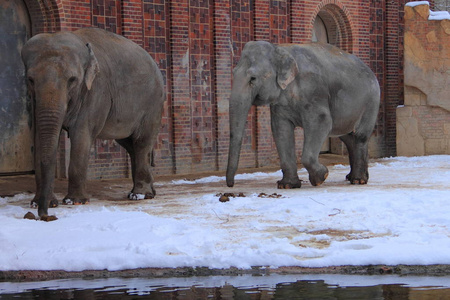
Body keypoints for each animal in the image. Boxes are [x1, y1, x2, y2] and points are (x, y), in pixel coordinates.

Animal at [21, 28, 165, 219]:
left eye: (72, 80)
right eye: (30, 80)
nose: (44, 215)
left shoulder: (96, 91)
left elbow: (81, 135)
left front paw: (75, 201)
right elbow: (39, 138)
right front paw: (40, 202)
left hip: (153, 103)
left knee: (142, 142)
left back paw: (139, 195)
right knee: (130, 144)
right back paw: (147, 192)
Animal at [227, 41, 378, 189]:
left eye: (253, 78)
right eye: (233, 73)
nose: (231, 185)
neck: (280, 48)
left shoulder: (313, 91)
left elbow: (321, 122)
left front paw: (321, 177)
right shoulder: (280, 104)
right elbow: (280, 130)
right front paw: (287, 185)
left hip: (370, 103)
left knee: (360, 136)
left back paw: (358, 180)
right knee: (346, 137)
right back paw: (353, 178)